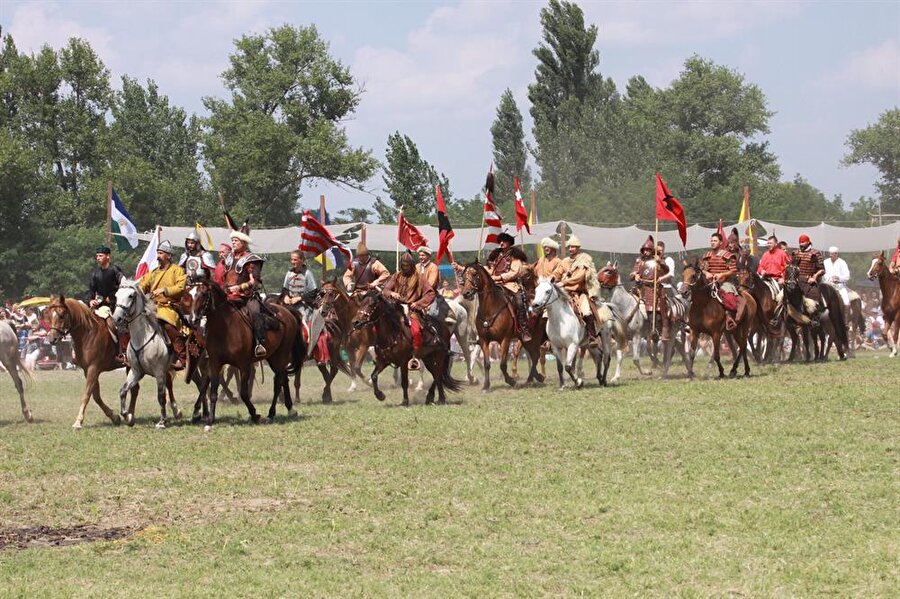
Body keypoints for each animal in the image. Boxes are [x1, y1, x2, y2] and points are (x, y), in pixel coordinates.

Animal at [45, 296, 126, 428]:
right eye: (48, 315)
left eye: (62, 315)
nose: (52, 339)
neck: (88, 333)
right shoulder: (88, 370)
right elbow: (96, 396)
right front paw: (114, 417)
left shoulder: (93, 368)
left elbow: (86, 395)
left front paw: (78, 421)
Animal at [111, 278, 182, 428]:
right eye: (116, 295)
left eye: (131, 296)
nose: (116, 318)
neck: (142, 338)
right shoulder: (136, 371)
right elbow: (123, 391)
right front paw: (127, 416)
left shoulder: (159, 372)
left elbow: (161, 396)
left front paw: (162, 421)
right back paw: (178, 411)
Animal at [186, 284, 306, 428]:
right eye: (189, 294)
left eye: (204, 294)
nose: (192, 320)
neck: (225, 327)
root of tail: (287, 311)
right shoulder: (215, 363)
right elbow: (213, 391)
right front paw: (210, 420)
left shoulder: (244, 365)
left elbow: (243, 393)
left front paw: (254, 414)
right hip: (273, 357)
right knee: (282, 379)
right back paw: (287, 410)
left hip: (280, 355)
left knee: (279, 381)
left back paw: (273, 413)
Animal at [460, 260, 544, 392]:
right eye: (463, 276)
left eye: (474, 274)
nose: (466, 293)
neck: (490, 308)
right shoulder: (484, 341)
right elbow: (487, 364)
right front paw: (486, 386)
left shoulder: (505, 339)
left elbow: (503, 364)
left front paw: (511, 381)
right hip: (524, 339)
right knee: (533, 355)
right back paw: (534, 377)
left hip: (535, 336)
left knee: (535, 355)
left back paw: (532, 378)